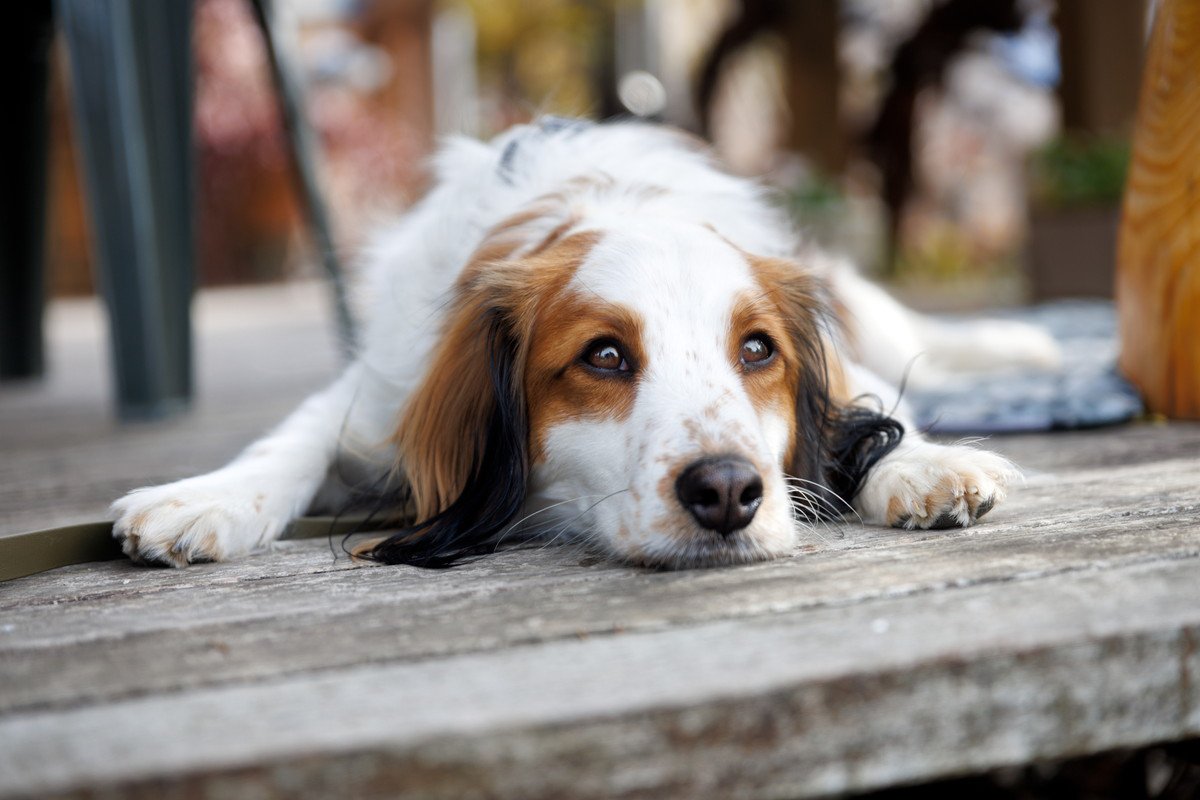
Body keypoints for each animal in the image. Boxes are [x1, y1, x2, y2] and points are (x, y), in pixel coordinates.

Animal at [112, 117, 1060, 568]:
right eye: (603, 355)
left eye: (758, 351)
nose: (727, 492)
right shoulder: (377, 394)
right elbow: (292, 442)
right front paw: (204, 499)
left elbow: (869, 405)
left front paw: (920, 463)